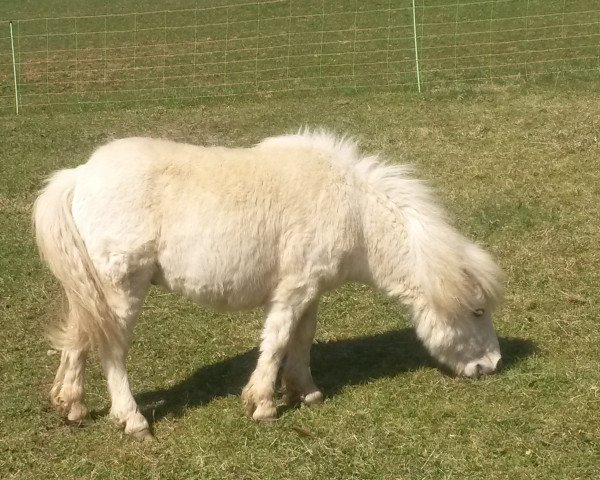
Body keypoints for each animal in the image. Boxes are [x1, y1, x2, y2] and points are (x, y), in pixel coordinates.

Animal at [31, 130, 502, 438]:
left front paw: (306, 392)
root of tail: (79, 175)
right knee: (112, 350)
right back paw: (132, 420)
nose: (492, 366)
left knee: (78, 338)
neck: (353, 211)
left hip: (90, 287)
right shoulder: (293, 289)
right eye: (477, 311)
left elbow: (301, 340)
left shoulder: (313, 290)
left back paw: (72, 405)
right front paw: (262, 404)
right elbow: (276, 341)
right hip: (122, 289)